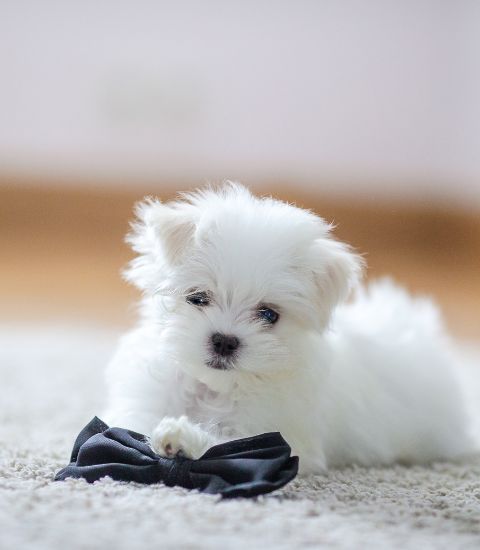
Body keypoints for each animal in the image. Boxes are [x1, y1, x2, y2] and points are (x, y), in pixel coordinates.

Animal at [103, 184, 474, 474]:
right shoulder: (145, 404)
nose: (224, 341)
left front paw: (181, 438)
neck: (215, 389)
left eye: (269, 315)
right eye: (198, 297)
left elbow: (232, 444)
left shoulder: (276, 432)